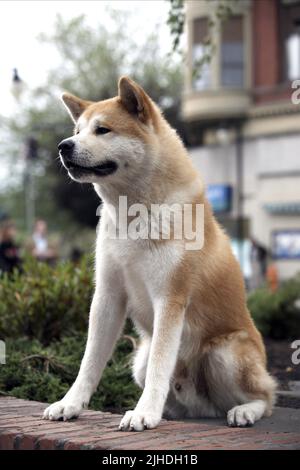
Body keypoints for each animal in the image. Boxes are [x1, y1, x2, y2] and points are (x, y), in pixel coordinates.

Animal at [42, 76, 276, 430]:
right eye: (78, 130)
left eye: (102, 130)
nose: (63, 145)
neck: (132, 216)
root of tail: (204, 408)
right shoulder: (108, 295)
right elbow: (89, 362)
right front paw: (70, 404)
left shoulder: (170, 298)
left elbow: (159, 366)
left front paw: (144, 413)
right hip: (139, 357)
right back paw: (168, 410)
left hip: (225, 353)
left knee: (266, 397)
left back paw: (244, 410)